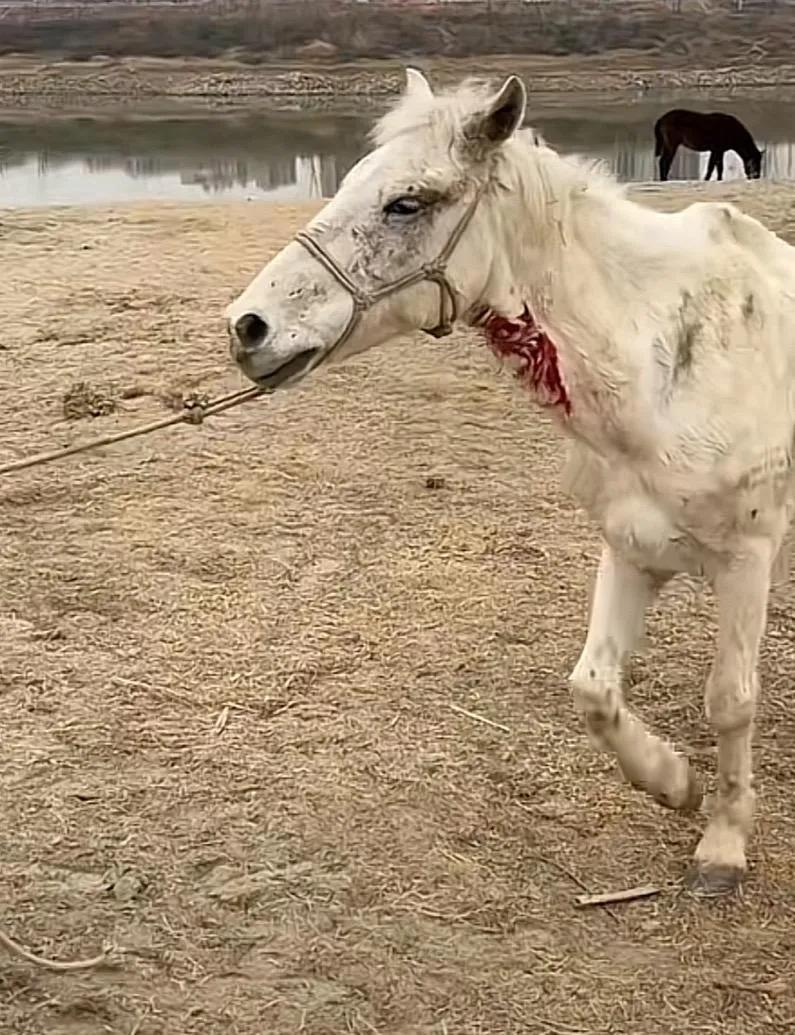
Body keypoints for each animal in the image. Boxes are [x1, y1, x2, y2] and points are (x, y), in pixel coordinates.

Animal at [225, 68, 795, 894]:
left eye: (406, 202)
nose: (248, 328)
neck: (660, 367)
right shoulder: (632, 545)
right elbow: (591, 687)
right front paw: (671, 782)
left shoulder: (746, 557)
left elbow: (729, 700)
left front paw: (722, 843)